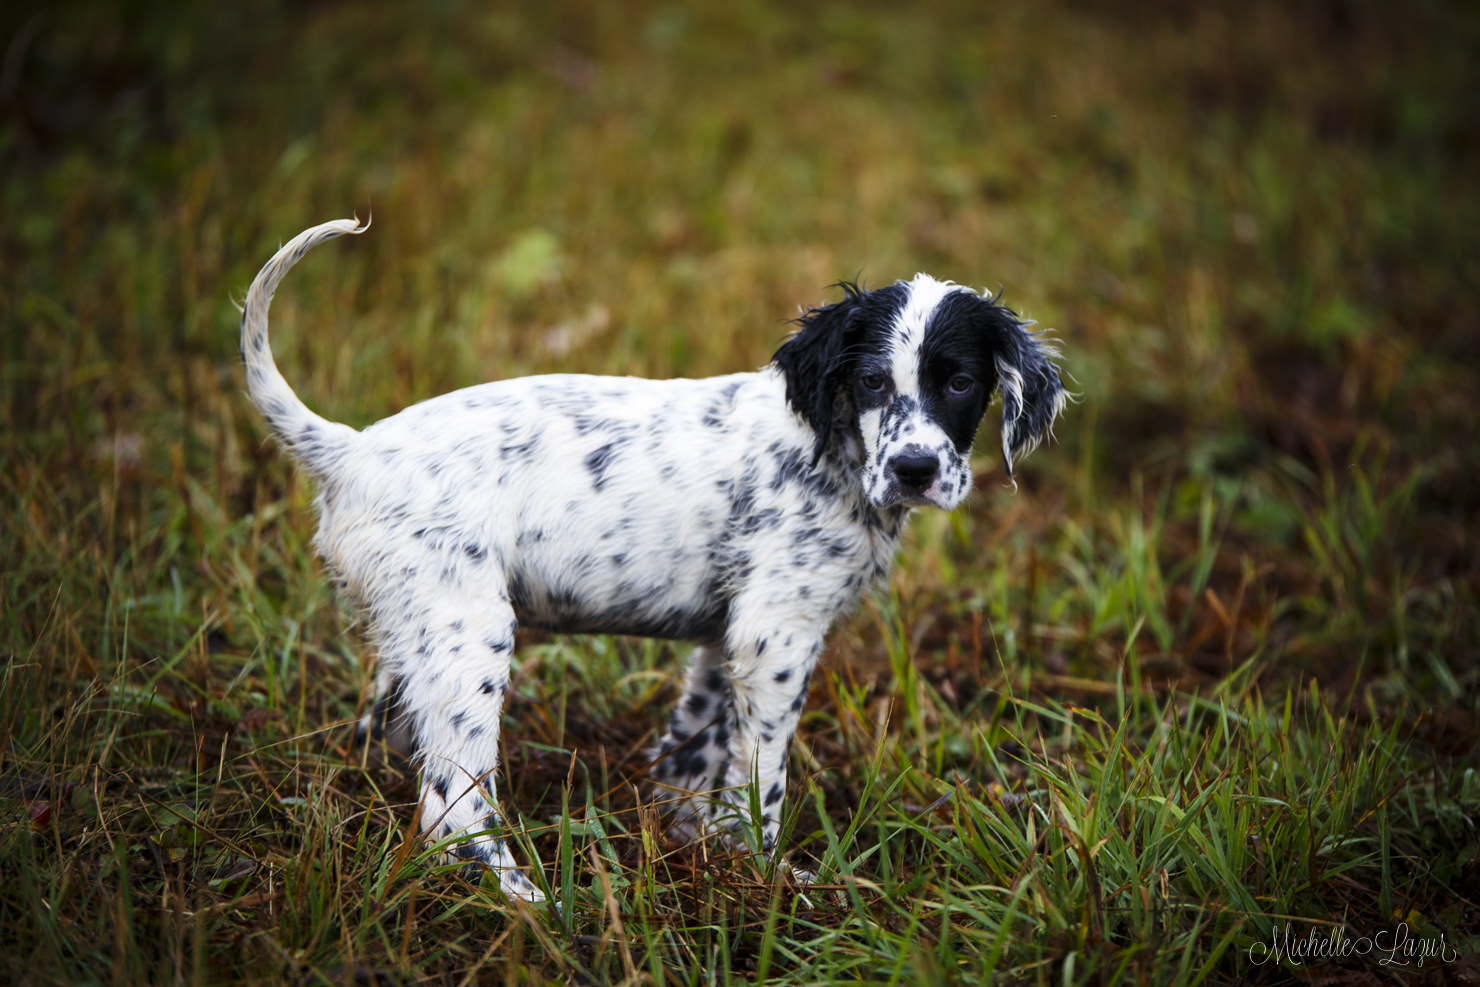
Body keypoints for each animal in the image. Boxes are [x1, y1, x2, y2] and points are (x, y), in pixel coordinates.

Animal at [242, 217, 1065, 905]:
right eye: (870, 382)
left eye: (959, 382)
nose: (916, 469)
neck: (835, 453)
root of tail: (350, 448)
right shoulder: (777, 635)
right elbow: (759, 777)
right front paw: (768, 876)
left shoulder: (726, 636)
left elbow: (696, 752)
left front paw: (693, 848)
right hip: (468, 637)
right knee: (454, 808)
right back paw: (528, 904)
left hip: (413, 631)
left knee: (389, 739)